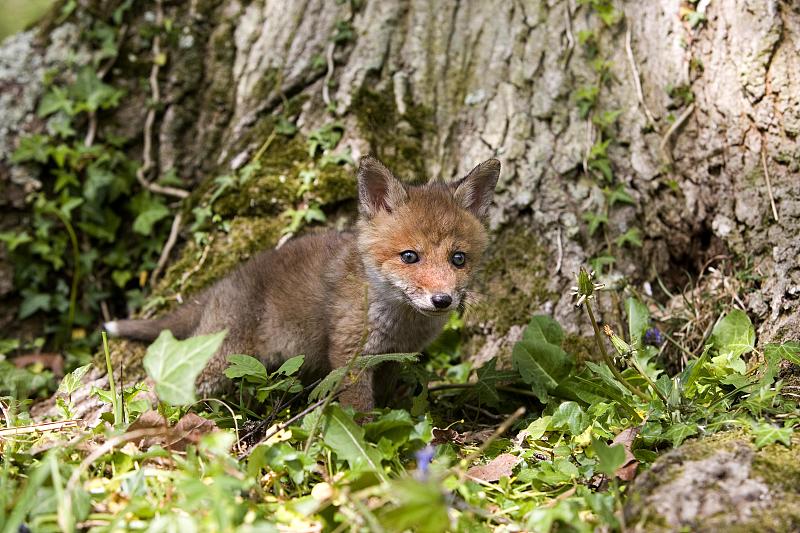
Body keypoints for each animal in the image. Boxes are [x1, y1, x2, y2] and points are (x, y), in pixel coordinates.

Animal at [103, 156, 496, 410]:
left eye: (458, 259)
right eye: (410, 256)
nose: (443, 300)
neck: (400, 321)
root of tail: (220, 285)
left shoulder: (391, 359)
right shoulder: (351, 357)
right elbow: (360, 413)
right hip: (216, 361)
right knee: (155, 386)